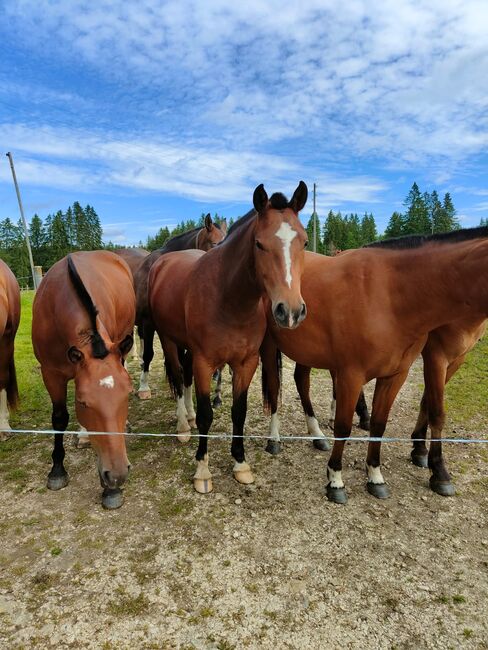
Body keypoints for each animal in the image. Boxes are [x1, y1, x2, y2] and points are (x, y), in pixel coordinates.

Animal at [32, 251, 135, 508]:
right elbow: (59, 418)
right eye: (82, 402)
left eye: (127, 395)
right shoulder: (51, 374)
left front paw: (111, 491)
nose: (117, 474)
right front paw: (57, 470)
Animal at [150, 182, 308, 492]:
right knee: (178, 375)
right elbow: (206, 415)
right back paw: (183, 425)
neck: (228, 299)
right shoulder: (205, 362)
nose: (290, 311)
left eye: (305, 242)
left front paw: (240, 463)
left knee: (185, 378)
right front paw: (202, 470)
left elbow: (239, 411)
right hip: (168, 340)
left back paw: (187, 415)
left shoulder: (246, 363)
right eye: (259, 244)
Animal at [264, 228, 488, 502]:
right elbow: (344, 425)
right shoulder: (355, 373)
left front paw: (376, 476)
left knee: (301, 382)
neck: (391, 296)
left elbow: (382, 424)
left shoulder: (398, 375)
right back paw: (274, 439)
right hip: (269, 346)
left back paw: (316, 434)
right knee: (274, 388)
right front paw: (335, 481)